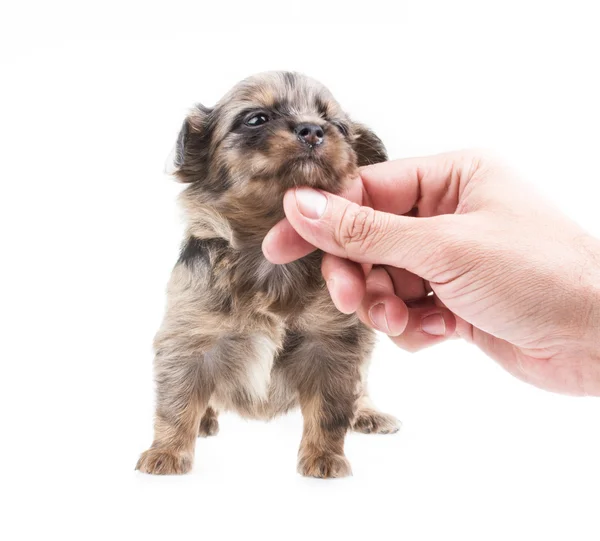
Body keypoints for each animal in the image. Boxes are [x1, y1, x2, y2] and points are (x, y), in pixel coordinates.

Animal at [136, 70, 398, 476]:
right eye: (256, 118)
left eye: (337, 125)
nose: (313, 130)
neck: (268, 255)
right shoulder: (188, 338)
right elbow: (176, 404)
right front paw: (167, 452)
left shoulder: (333, 343)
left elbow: (330, 410)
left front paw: (324, 457)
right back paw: (205, 418)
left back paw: (367, 413)